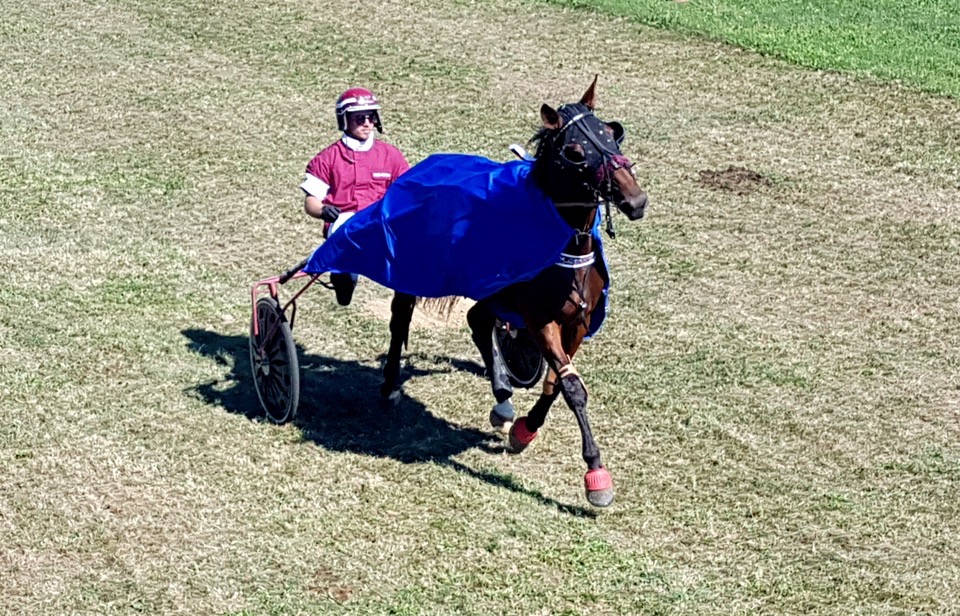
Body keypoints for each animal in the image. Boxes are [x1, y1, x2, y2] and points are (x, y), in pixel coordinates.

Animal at [378, 77, 648, 508]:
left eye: (611, 133)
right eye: (576, 152)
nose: (635, 200)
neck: (565, 249)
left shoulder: (578, 320)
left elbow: (556, 382)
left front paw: (526, 428)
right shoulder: (540, 321)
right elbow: (572, 387)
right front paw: (595, 474)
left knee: (477, 321)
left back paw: (503, 397)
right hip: (412, 269)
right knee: (401, 317)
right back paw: (390, 384)